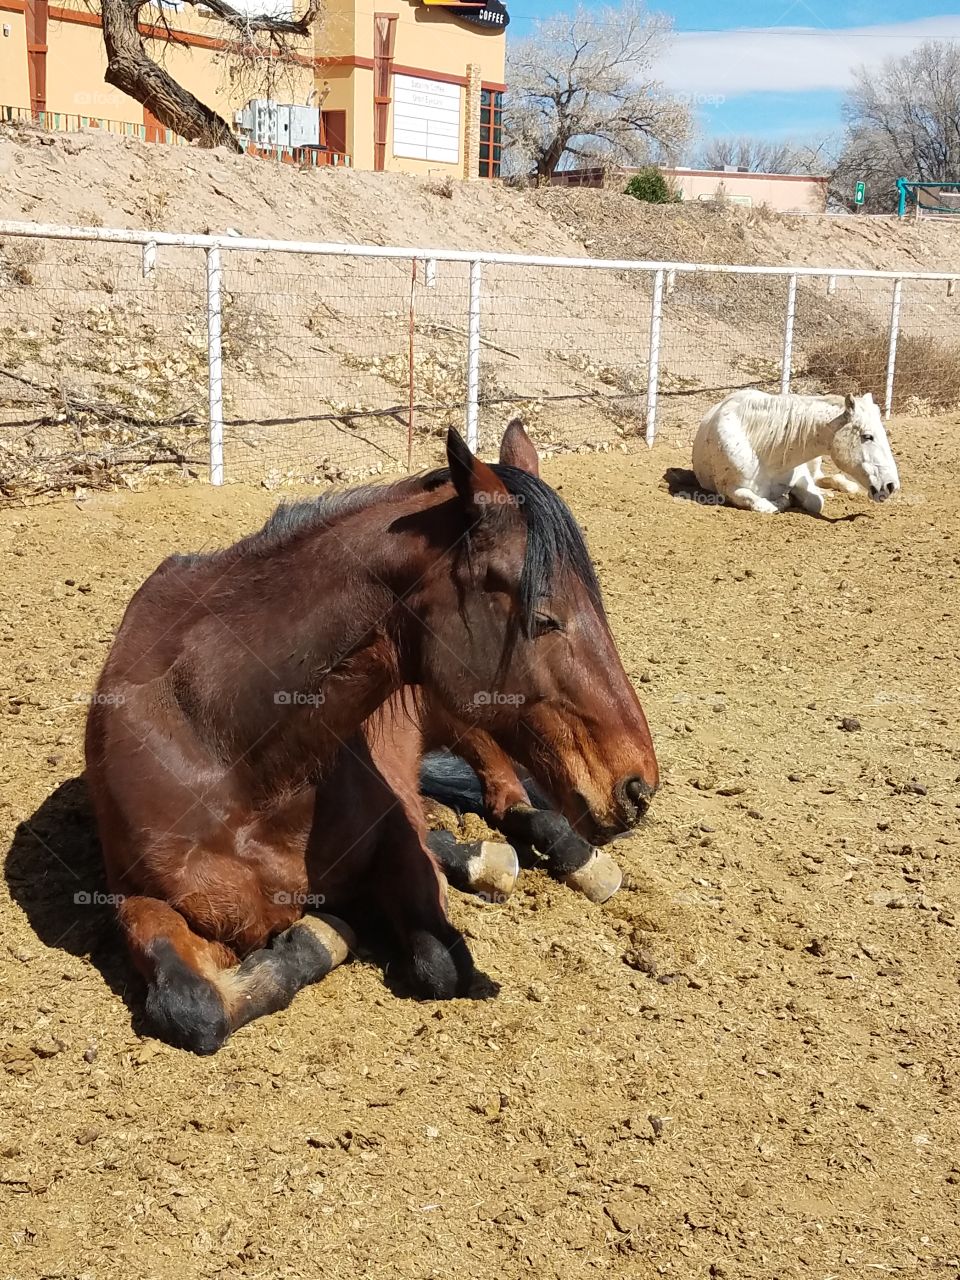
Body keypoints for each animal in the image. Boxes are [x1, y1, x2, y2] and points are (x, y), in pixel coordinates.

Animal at [86, 419, 660, 1049]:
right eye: (544, 618)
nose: (637, 787)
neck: (229, 750)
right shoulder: (136, 896)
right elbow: (192, 1008)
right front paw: (322, 934)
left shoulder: (396, 844)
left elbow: (441, 965)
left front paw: (326, 933)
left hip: (467, 725)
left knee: (507, 796)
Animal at [691, 386, 901, 512]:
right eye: (867, 436)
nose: (891, 486)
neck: (764, 452)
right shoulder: (732, 490)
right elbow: (766, 505)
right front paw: (784, 499)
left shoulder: (802, 477)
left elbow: (816, 501)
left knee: (823, 478)